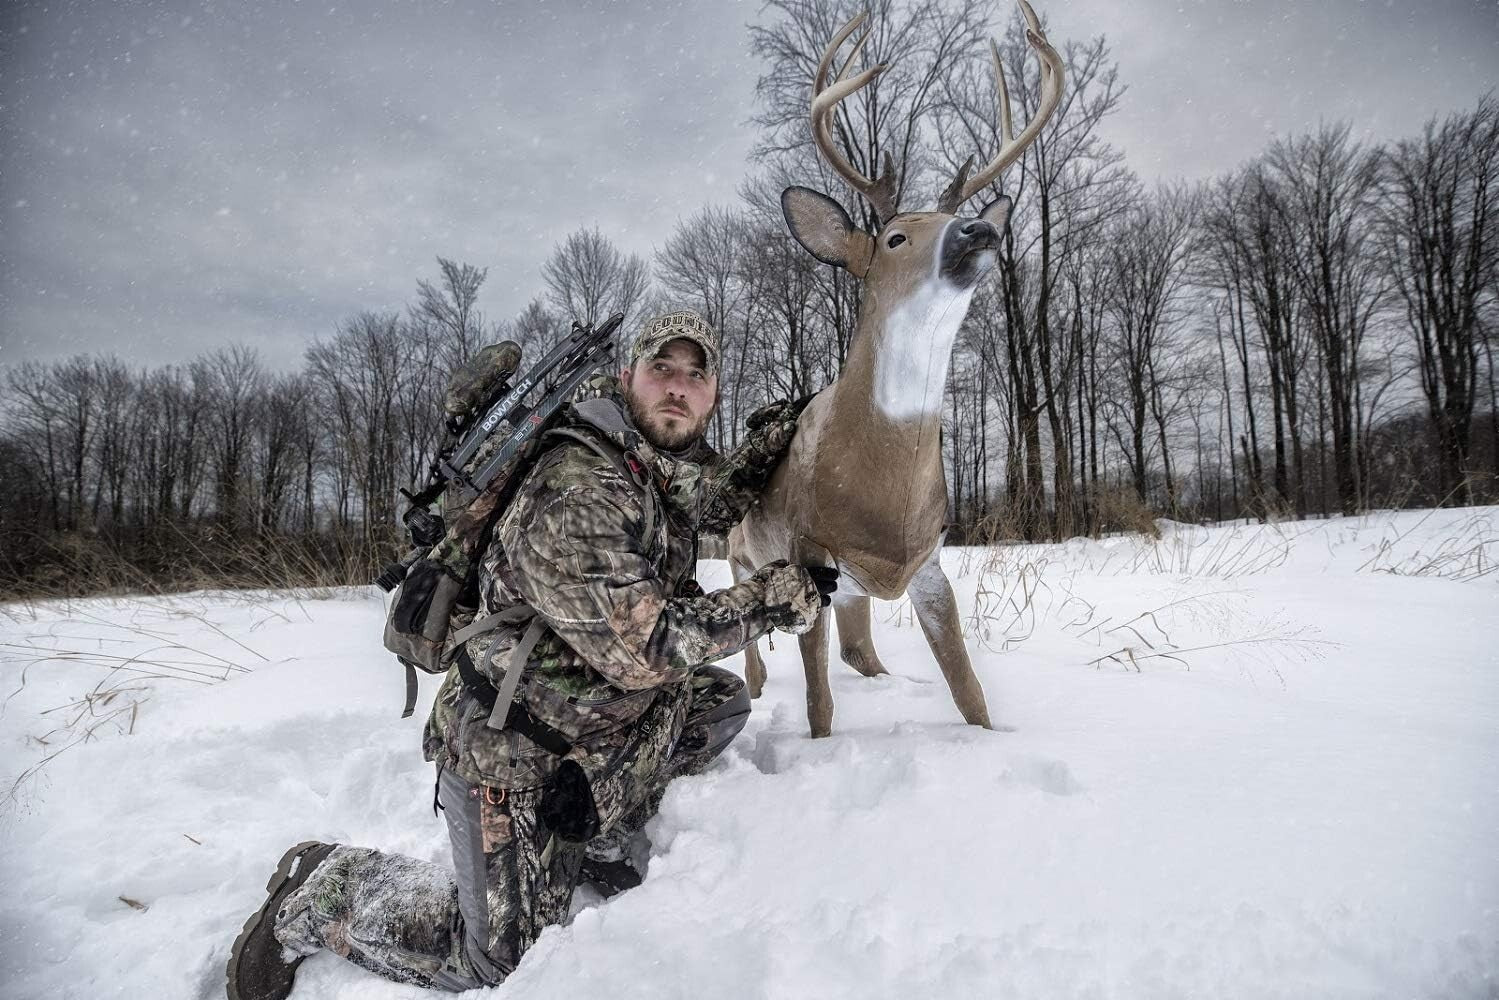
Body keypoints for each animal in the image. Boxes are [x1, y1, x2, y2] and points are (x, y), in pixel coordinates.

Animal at [728, 0, 1064, 738]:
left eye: (951, 215)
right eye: (894, 236)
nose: (977, 229)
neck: (886, 498)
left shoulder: (930, 561)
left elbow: (967, 686)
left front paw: (984, 735)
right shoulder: (806, 554)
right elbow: (818, 703)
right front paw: (818, 738)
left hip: (849, 591)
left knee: (860, 650)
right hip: (740, 547)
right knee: (752, 631)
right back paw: (757, 685)